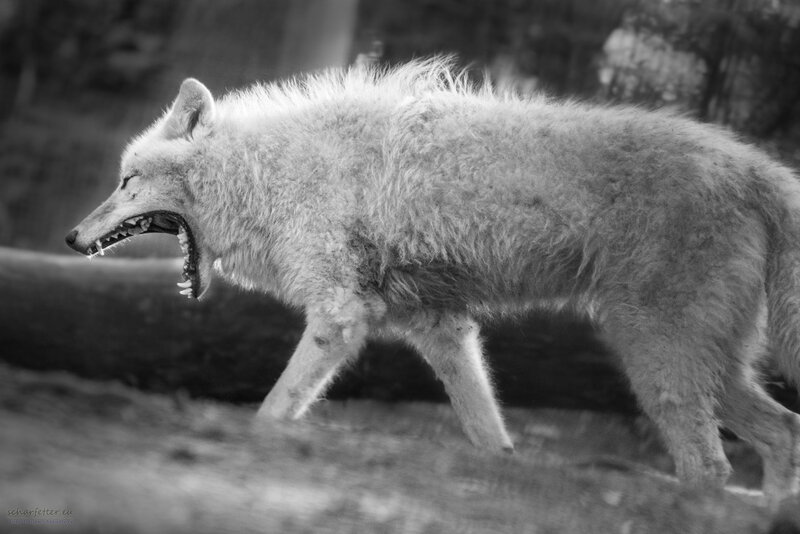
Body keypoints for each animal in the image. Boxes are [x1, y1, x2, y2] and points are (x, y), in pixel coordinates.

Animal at [65, 58, 800, 504]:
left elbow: (274, 407)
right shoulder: (442, 331)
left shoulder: (340, 318)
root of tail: (757, 167)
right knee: (783, 434)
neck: (272, 171)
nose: (70, 237)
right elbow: (489, 433)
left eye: (126, 182)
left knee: (711, 468)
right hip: (704, 370)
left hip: (657, 363)